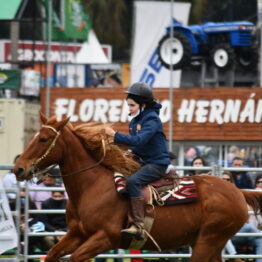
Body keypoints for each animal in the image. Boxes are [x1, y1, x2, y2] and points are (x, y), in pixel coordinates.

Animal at [13, 114, 262, 262]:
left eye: (44, 139)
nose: (18, 168)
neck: (91, 187)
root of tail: (237, 191)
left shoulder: (105, 238)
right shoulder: (77, 234)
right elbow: (51, 255)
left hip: (207, 241)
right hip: (210, 243)